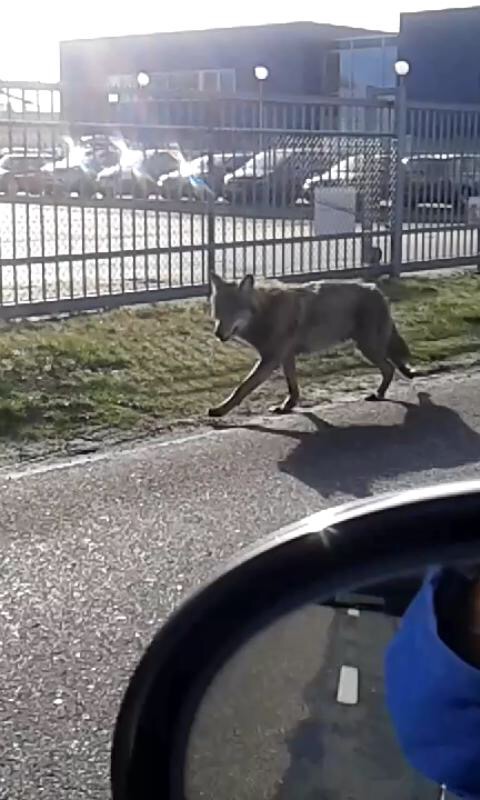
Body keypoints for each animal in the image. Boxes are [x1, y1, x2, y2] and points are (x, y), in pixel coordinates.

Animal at [208, 272, 415, 418]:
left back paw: (379, 394)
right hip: (369, 347)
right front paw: (287, 406)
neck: (265, 313)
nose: (218, 333)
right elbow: (292, 386)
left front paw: (219, 410)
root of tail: (376, 289)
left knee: (389, 368)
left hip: (368, 347)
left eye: (233, 311)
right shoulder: (286, 357)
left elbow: (242, 387)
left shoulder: (271, 360)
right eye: (219, 310)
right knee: (391, 366)